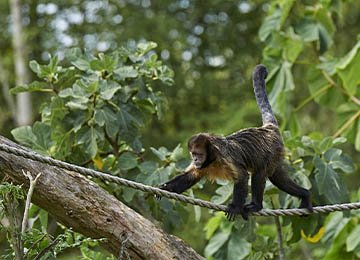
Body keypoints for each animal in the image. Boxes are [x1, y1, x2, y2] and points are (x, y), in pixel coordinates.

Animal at [155, 64, 312, 219]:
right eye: (193, 154)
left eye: (199, 154)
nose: (195, 160)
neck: (212, 159)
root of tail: (268, 129)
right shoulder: (203, 165)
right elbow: (191, 175)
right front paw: (165, 188)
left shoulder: (225, 157)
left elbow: (242, 177)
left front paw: (234, 206)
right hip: (277, 155)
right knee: (278, 178)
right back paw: (305, 194)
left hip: (273, 151)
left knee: (259, 173)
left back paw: (256, 206)